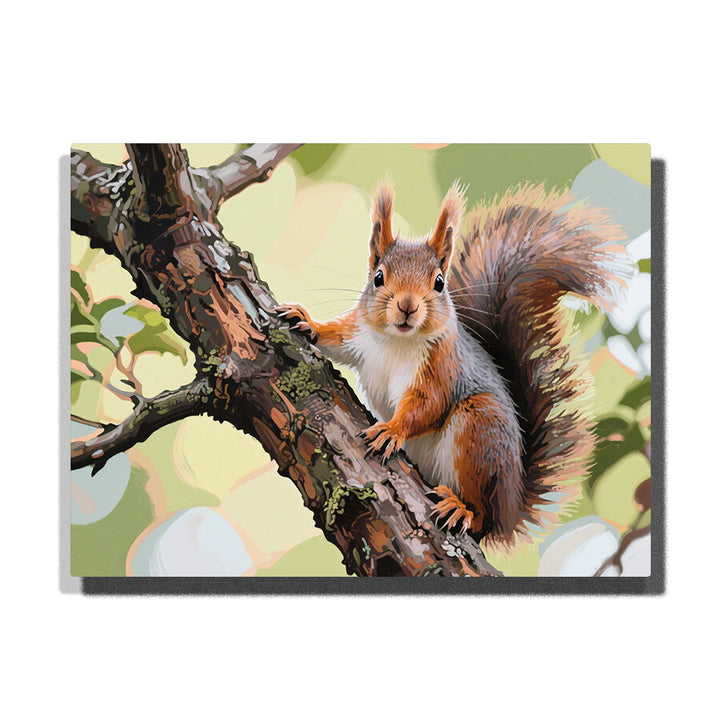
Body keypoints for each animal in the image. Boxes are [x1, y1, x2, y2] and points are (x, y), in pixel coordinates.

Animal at [277, 179, 630, 548]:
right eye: (378, 277)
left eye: (438, 282)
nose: (407, 306)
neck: (398, 341)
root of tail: (510, 505)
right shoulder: (359, 333)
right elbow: (335, 339)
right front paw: (306, 322)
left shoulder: (443, 367)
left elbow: (429, 404)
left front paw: (392, 429)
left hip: (480, 429)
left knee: (480, 515)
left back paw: (462, 509)